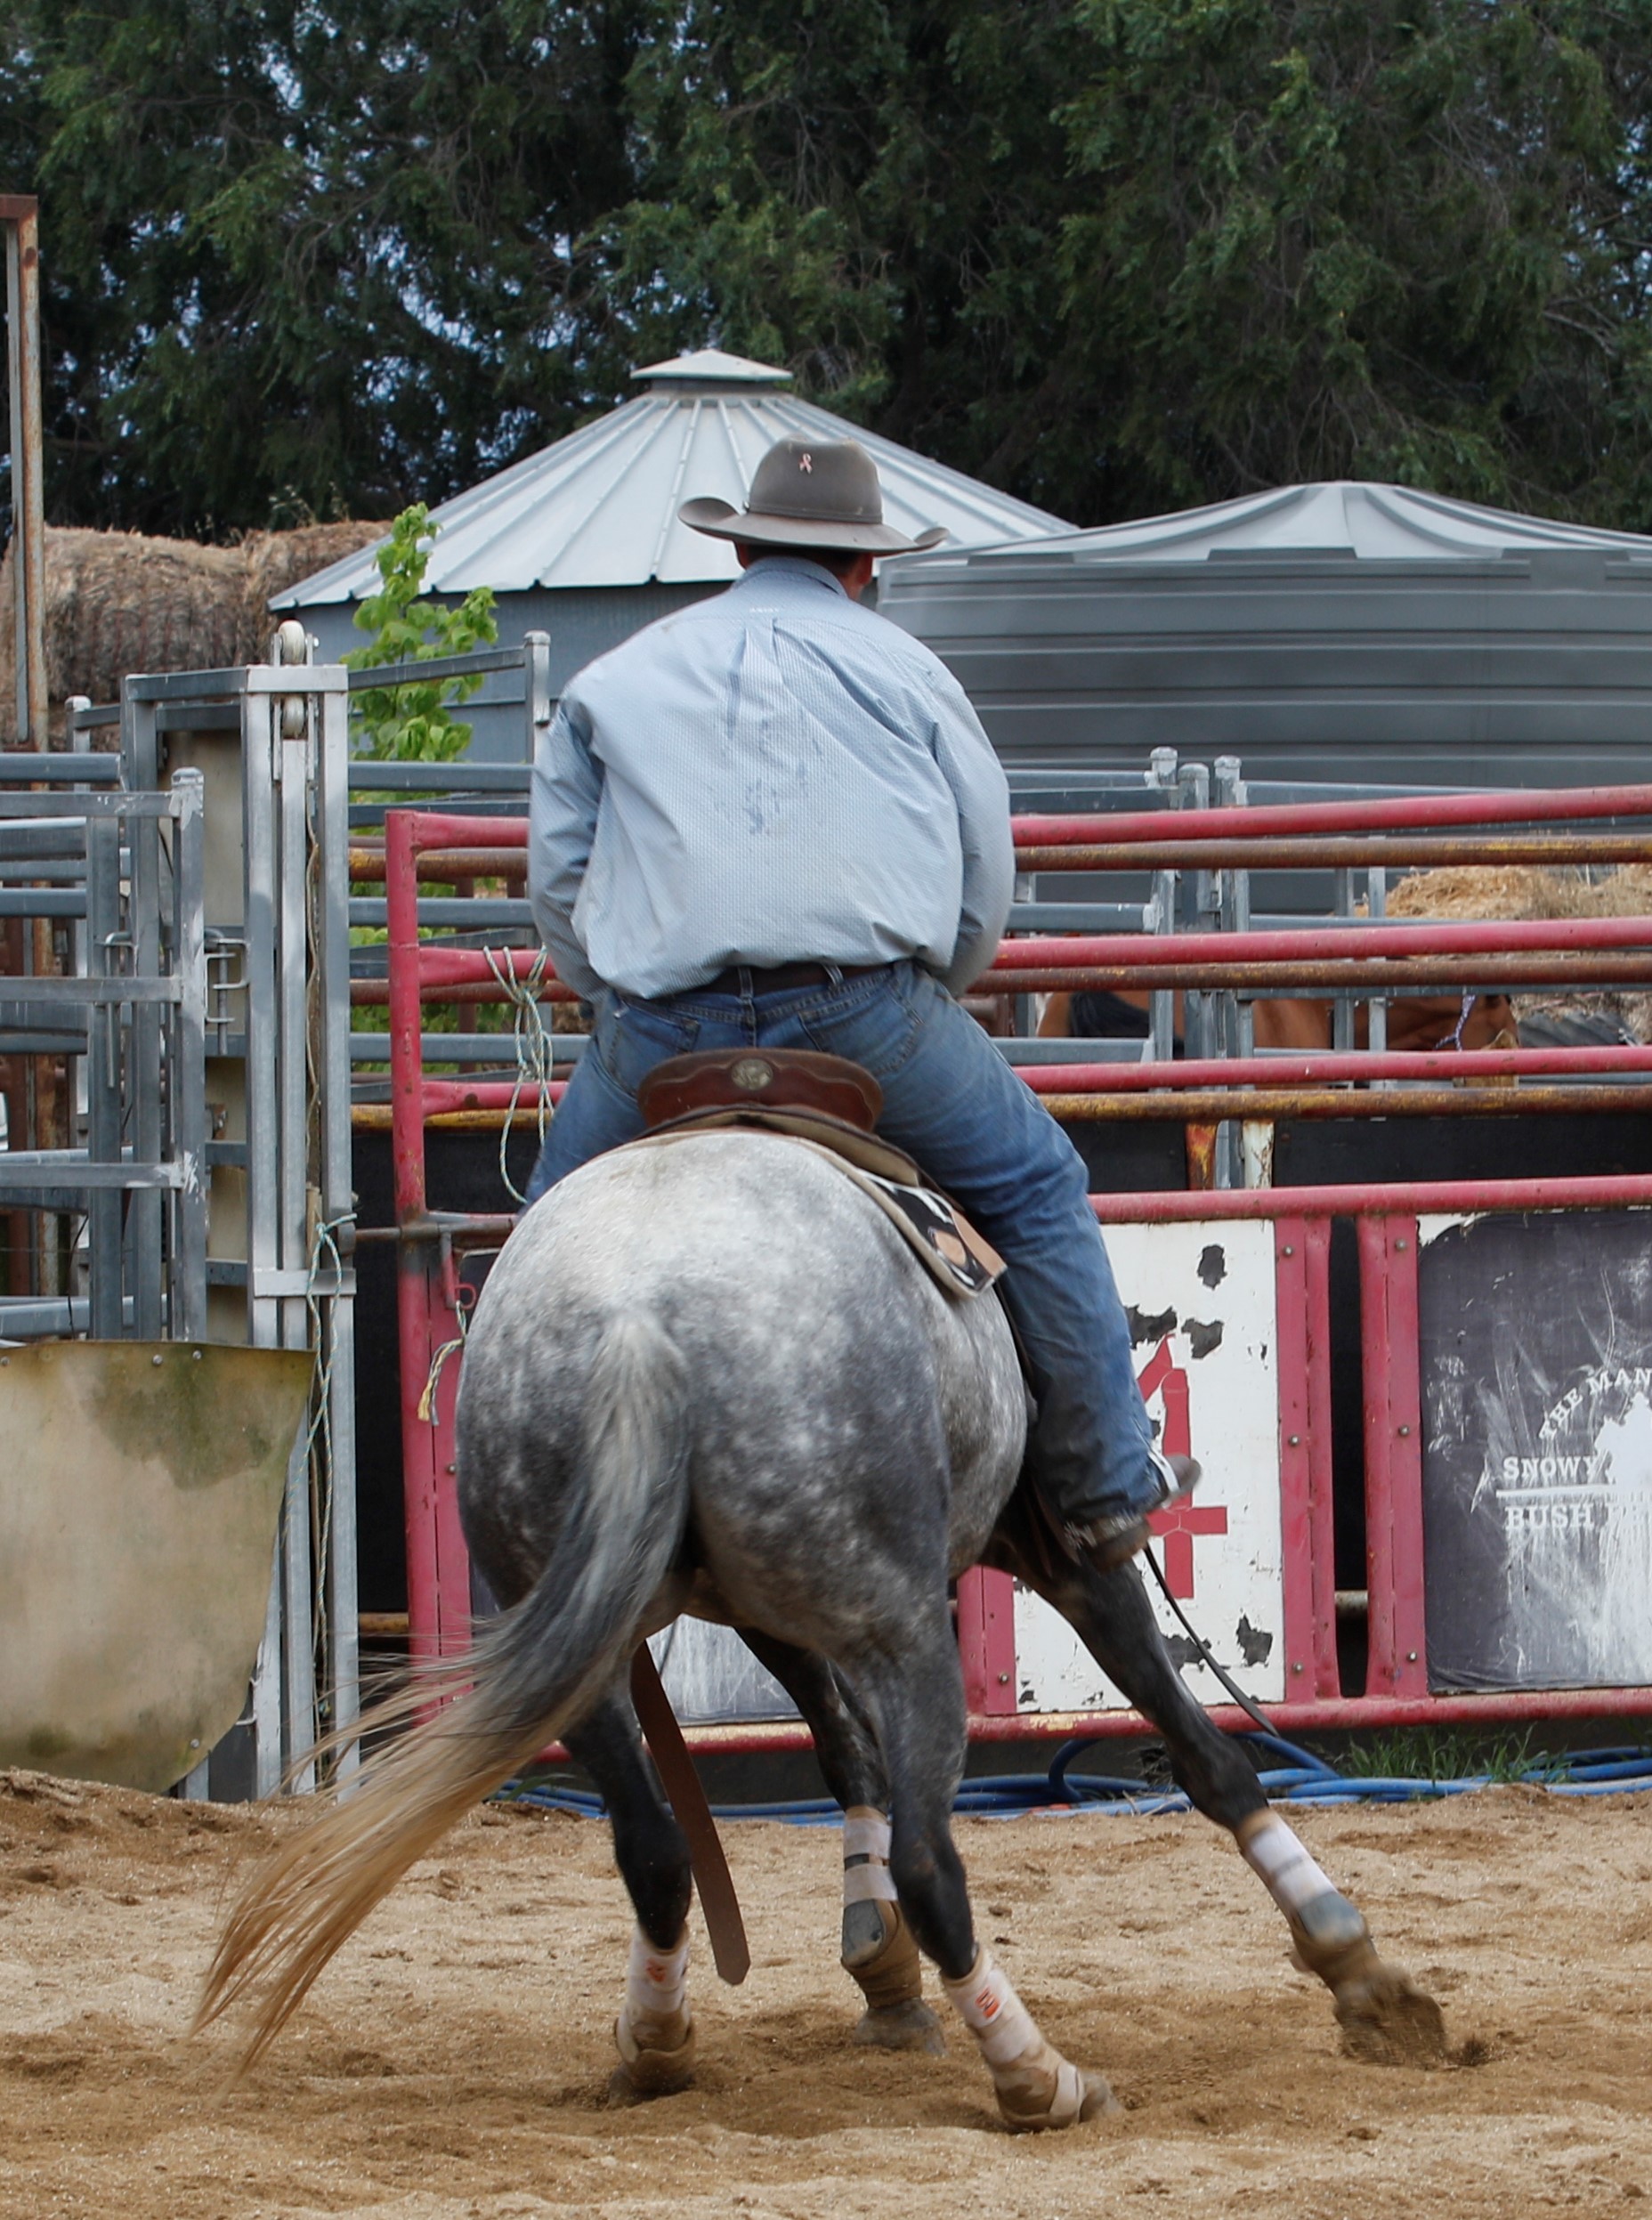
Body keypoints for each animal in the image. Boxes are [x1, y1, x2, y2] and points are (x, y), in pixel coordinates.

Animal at [197, 1128, 1443, 2127]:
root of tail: (635, 1313)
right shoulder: (1056, 1550)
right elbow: (1199, 1749)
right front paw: (1356, 1967)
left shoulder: (768, 1611)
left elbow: (841, 1750)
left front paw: (874, 1966)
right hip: (904, 1625)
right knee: (934, 1860)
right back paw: (1035, 2074)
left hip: (587, 1646)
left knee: (655, 1848)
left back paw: (655, 2040)